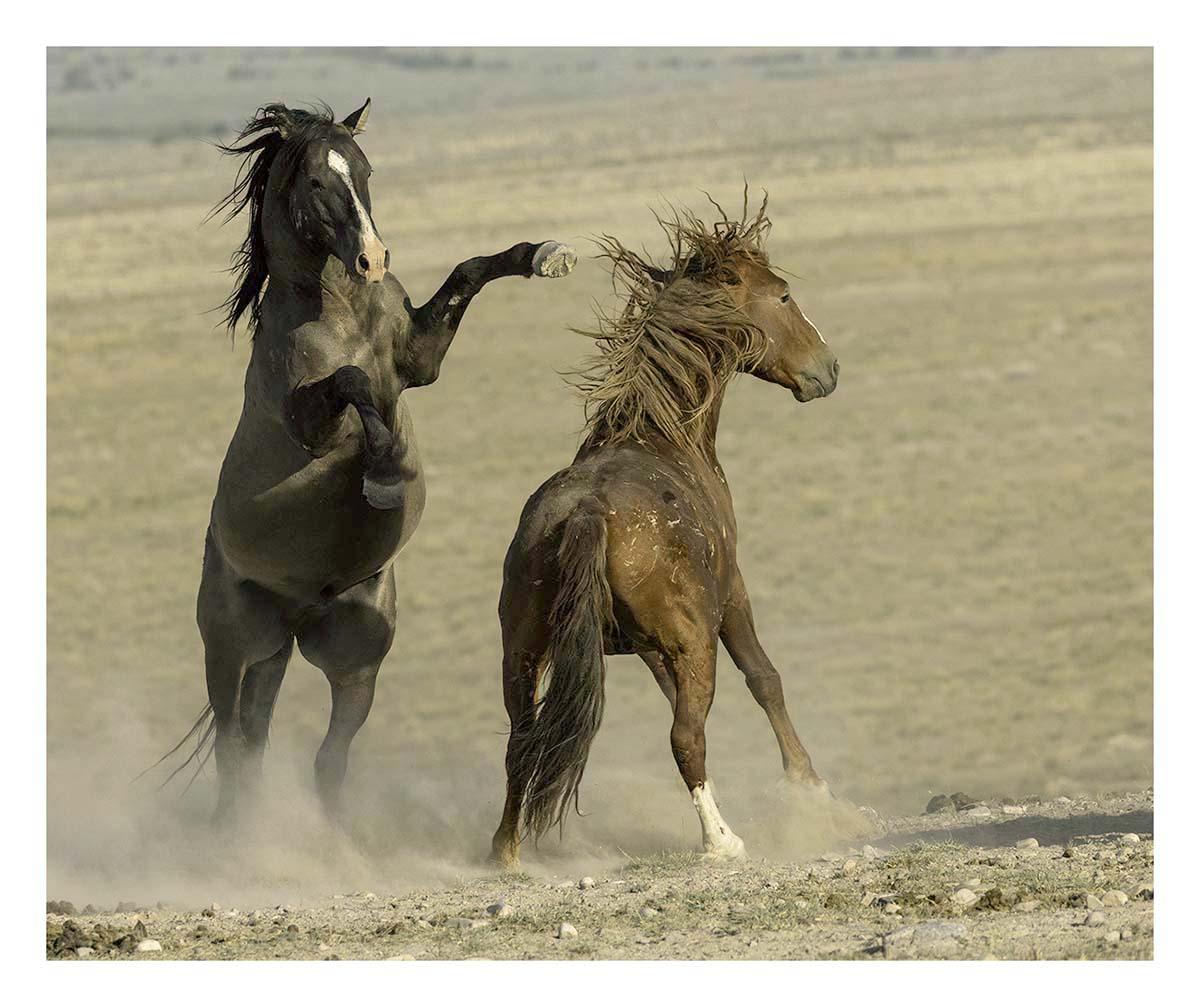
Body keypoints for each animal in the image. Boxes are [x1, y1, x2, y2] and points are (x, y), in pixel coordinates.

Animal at [169, 99, 576, 825]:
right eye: (314, 183)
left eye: (363, 172)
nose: (373, 258)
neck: (341, 310)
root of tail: (296, 610)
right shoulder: (311, 421)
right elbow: (354, 383)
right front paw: (386, 470)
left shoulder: (421, 358)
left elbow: (468, 270)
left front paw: (546, 255)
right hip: (232, 649)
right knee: (232, 745)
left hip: (344, 656)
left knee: (313, 754)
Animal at [490, 194, 839, 868]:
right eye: (784, 295)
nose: (828, 369)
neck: (660, 434)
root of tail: (586, 512)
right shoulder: (731, 595)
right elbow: (764, 679)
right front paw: (811, 787)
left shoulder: (650, 648)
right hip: (694, 645)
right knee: (685, 737)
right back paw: (722, 841)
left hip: (522, 652)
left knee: (522, 741)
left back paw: (506, 853)